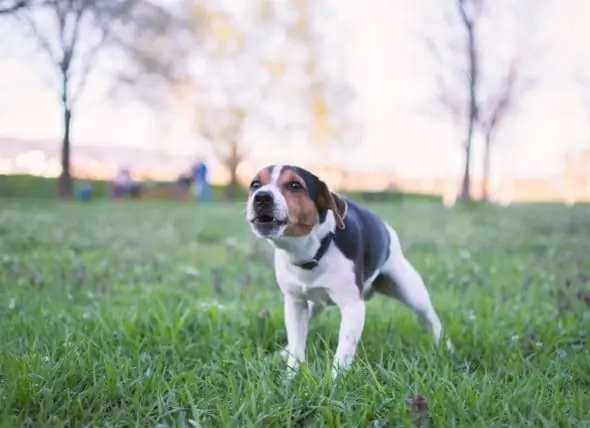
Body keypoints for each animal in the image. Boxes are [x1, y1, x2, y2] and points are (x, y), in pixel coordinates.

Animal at [246, 164, 454, 378]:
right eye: (255, 184)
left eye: (295, 185)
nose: (262, 197)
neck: (312, 252)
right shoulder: (296, 304)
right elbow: (296, 346)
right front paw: (291, 377)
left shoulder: (353, 306)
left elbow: (344, 351)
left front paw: (334, 382)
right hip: (313, 305)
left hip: (411, 291)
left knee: (432, 319)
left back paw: (445, 347)